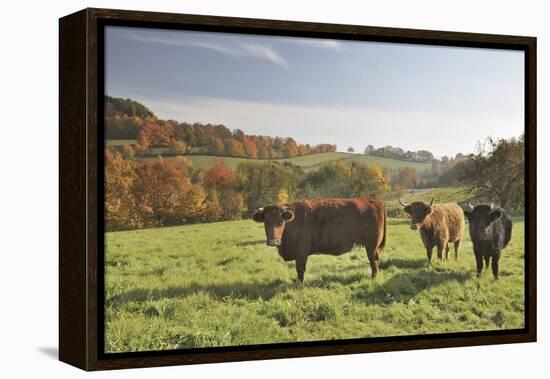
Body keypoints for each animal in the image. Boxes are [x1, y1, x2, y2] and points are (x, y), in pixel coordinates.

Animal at [254, 197, 388, 286]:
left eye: (281, 222)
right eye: (266, 221)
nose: (273, 241)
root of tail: (375, 201)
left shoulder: (301, 253)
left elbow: (300, 270)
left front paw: (299, 286)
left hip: (371, 246)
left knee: (374, 262)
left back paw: (373, 279)